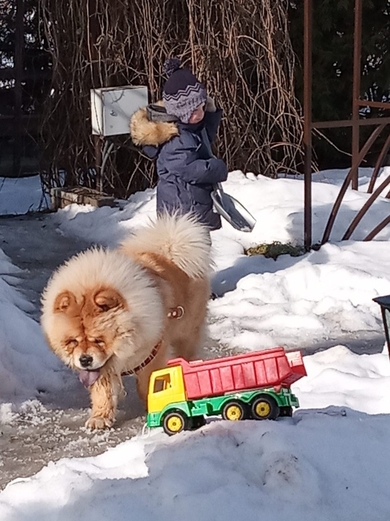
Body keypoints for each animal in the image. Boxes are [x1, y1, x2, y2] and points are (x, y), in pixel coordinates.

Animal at [41, 213, 212, 428]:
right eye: (73, 341)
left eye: (99, 340)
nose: (85, 359)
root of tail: (168, 250)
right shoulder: (101, 368)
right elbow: (102, 393)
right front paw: (100, 418)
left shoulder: (154, 352)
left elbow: (148, 383)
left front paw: (154, 407)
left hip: (187, 332)